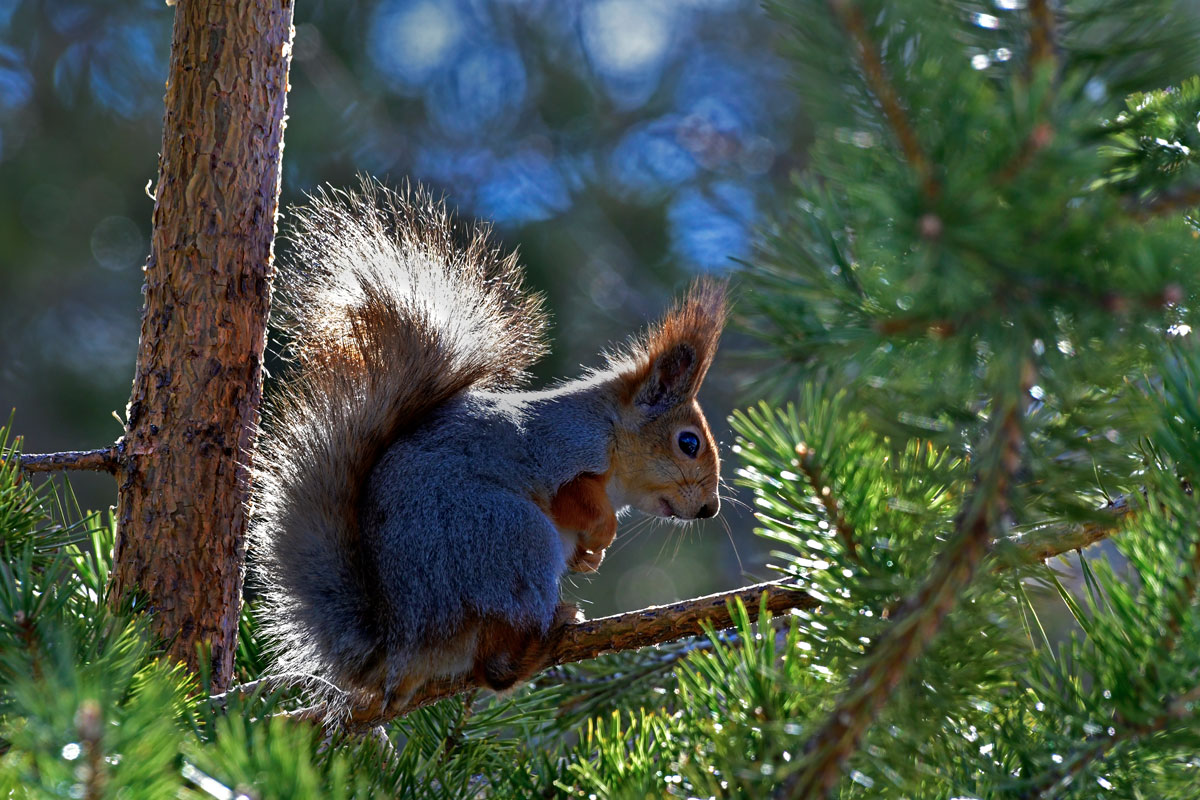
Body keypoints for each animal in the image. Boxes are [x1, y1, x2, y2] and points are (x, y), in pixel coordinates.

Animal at [250, 180, 726, 720]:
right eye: (688, 442)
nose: (710, 509)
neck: (607, 428)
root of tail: (407, 643)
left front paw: (590, 558)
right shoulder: (561, 451)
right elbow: (577, 500)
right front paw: (603, 533)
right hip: (513, 538)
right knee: (496, 665)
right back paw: (552, 629)